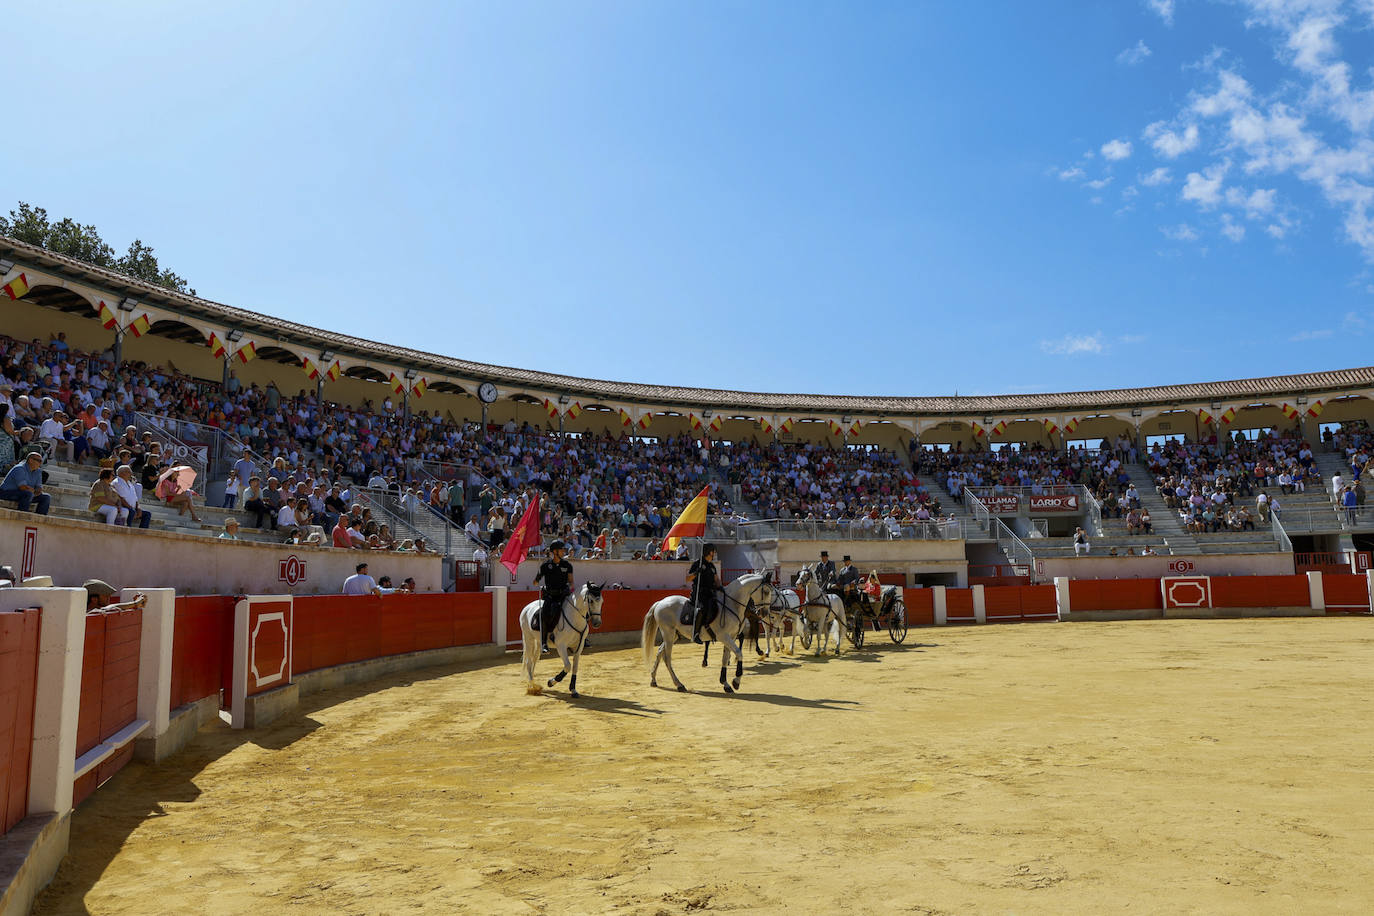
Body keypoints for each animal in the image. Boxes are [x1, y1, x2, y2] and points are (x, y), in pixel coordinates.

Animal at [640, 574, 774, 694]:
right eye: (766, 591)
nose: (764, 612)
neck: (731, 604)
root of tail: (661, 602)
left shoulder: (731, 637)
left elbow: (725, 658)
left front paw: (725, 684)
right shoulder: (724, 636)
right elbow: (739, 653)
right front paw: (736, 682)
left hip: (674, 635)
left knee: (660, 652)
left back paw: (653, 679)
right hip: (668, 633)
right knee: (667, 658)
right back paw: (679, 684)